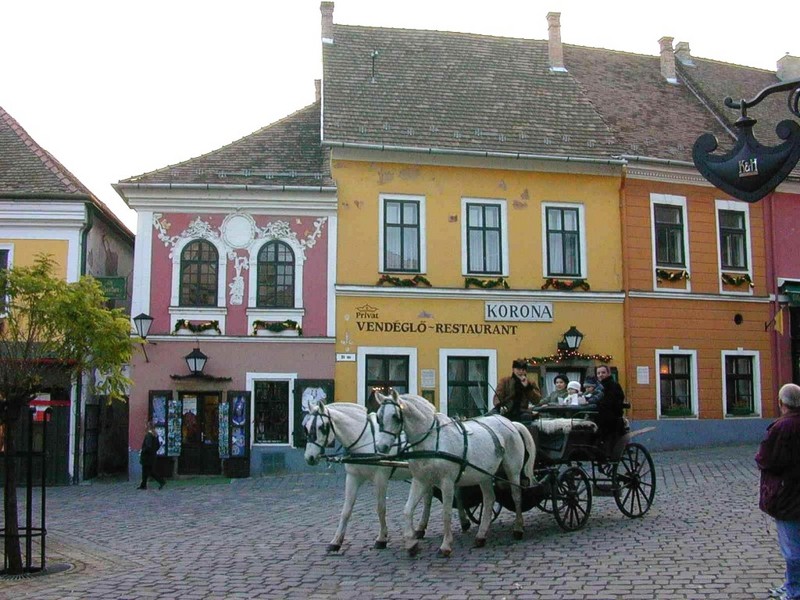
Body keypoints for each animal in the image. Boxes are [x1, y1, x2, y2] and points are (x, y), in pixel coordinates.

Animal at [304, 400, 468, 552]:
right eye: (305, 427)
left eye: (321, 427)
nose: (309, 457)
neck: (365, 439)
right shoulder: (352, 477)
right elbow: (346, 510)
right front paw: (336, 542)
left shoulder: (380, 478)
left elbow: (380, 508)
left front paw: (382, 538)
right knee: (430, 498)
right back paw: (422, 528)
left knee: (455, 494)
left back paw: (463, 522)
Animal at [376, 392, 536, 556]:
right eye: (378, 417)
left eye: (395, 416)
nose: (381, 447)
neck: (432, 440)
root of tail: (511, 423)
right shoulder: (421, 480)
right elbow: (407, 510)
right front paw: (411, 543)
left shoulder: (447, 482)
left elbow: (446, 513)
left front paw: (446, 545)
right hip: (484, 475)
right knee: (489, 499)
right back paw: (481, 535)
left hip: (513, 470)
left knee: (516, 496)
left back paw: (518, 528)